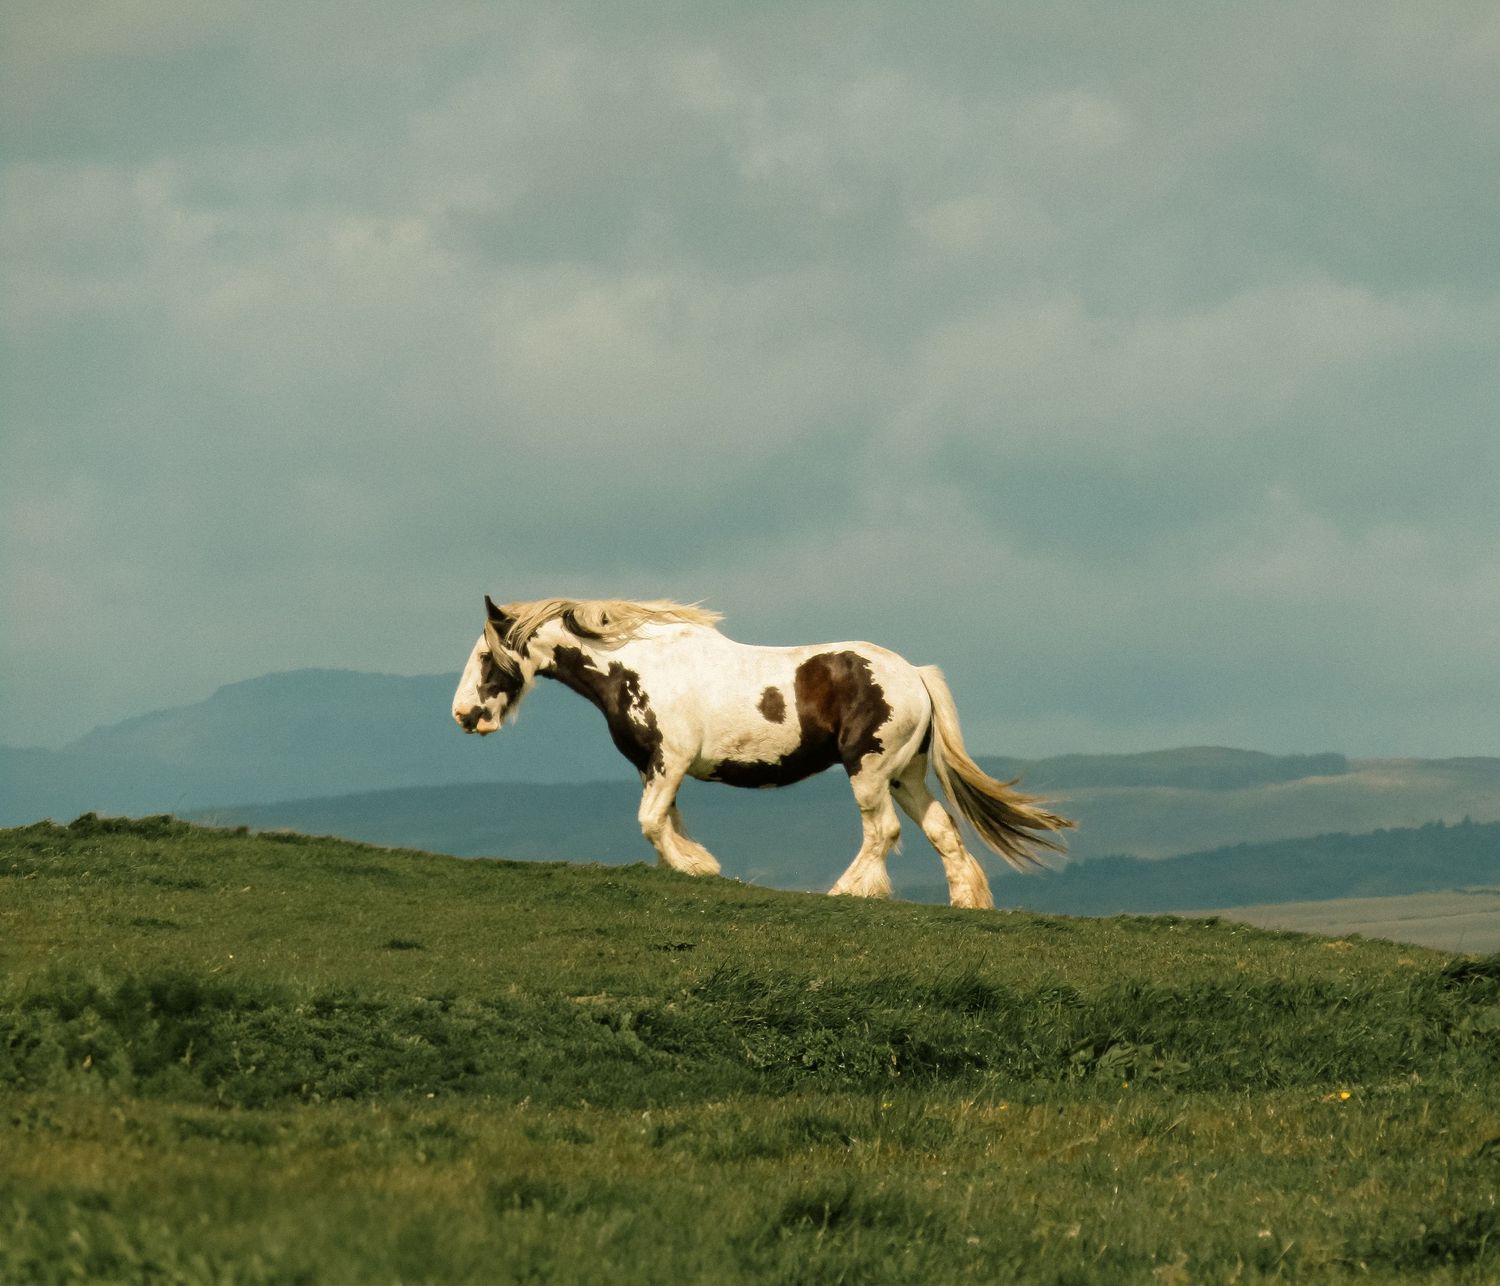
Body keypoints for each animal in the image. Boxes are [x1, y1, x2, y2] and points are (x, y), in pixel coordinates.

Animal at [451, 596, 1072, 909]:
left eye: (484, 657)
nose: (463, 715)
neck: (635, 668)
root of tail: (914, 674)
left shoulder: (669, 763)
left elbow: (651, 822)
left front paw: (698, 868)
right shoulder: (656, 769)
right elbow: (664, 822)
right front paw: (692, 864)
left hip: (869, 770)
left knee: (883, 833)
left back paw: (848, 891)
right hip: (907, 775)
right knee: (943, 831)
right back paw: (967, 903)